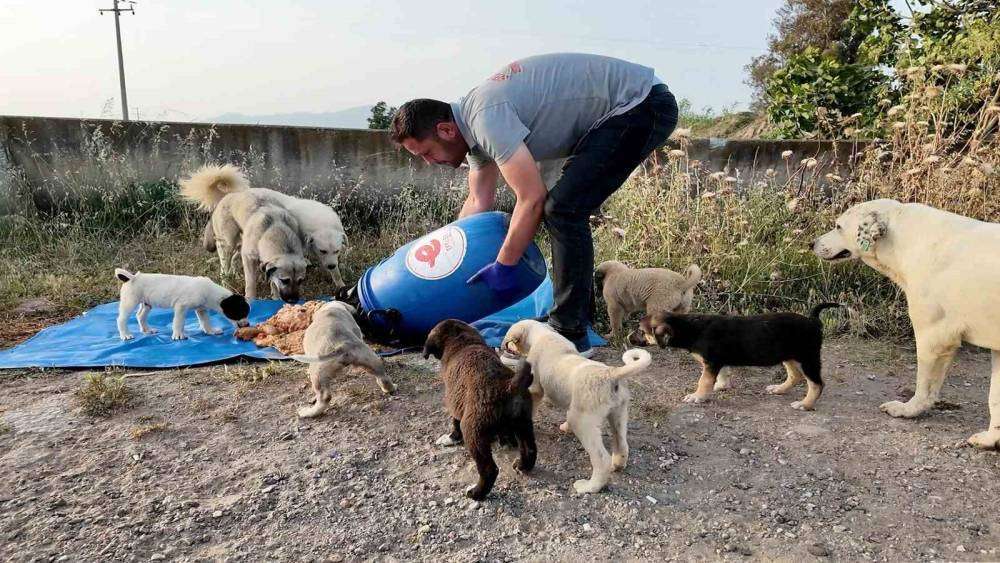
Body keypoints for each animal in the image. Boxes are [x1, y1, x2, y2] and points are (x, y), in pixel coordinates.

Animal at [115, 270, 250, 344]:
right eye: (240, 312)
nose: (248, 324)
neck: (211, 292)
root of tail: (132, 277)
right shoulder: (181, 307)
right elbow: (179, 322)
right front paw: (178, 335)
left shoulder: (201, 309)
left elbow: (206, 321)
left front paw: (211, 331)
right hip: (130, 302)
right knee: (121, 319)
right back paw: (125, 335)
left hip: (147, 304)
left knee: (140, 316)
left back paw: (147, 330)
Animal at [424, 320, 540, 500]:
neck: (461, 340)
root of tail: (509, 385)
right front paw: (504, 439)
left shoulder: (454, 403)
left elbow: (454, 422)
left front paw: (453, 437)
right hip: (523, 424)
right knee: (530, 449)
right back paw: (522, 465)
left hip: (473, 431)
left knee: (489, 470)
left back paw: (476, 493)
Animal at [500, 322, 656, 494]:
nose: (505, 347)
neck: (543, 334)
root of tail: (611, 373)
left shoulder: (535, 390)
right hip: (618, 415)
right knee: (622, 445)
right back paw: (617, 465)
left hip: (581, 421)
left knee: (602, 459)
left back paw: (589, 486)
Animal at [636, 306, 840, 412]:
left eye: (641, 332)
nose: (630, 339)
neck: (690, 327)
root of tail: (813, 321)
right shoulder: (718, 362)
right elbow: (722, 374)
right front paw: (720, 386)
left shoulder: (711, 362)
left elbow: (704, 381)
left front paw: (697, 396)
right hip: (788, 355)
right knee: (795, 375)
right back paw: (779, 389)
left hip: (808, 358)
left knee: (817, 384)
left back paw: (805, 404)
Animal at [812, 198, 1000, 450]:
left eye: (838, 226)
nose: (812, 243)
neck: (905, 239)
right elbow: (995, 396)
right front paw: (990, 438)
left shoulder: (935, 333)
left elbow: (925, 382)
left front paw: (906, 409)